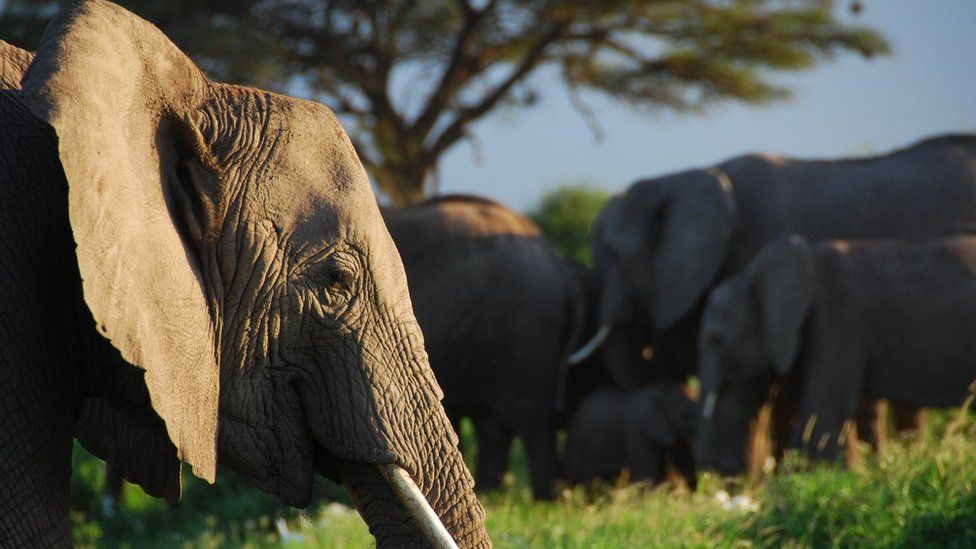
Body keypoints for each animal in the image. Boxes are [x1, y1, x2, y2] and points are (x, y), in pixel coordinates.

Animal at [384, 194, 588, 500]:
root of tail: (555, 261)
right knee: (492, 425)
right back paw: (492, 494)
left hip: (527, 325)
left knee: (533, 421)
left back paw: (545, 499)